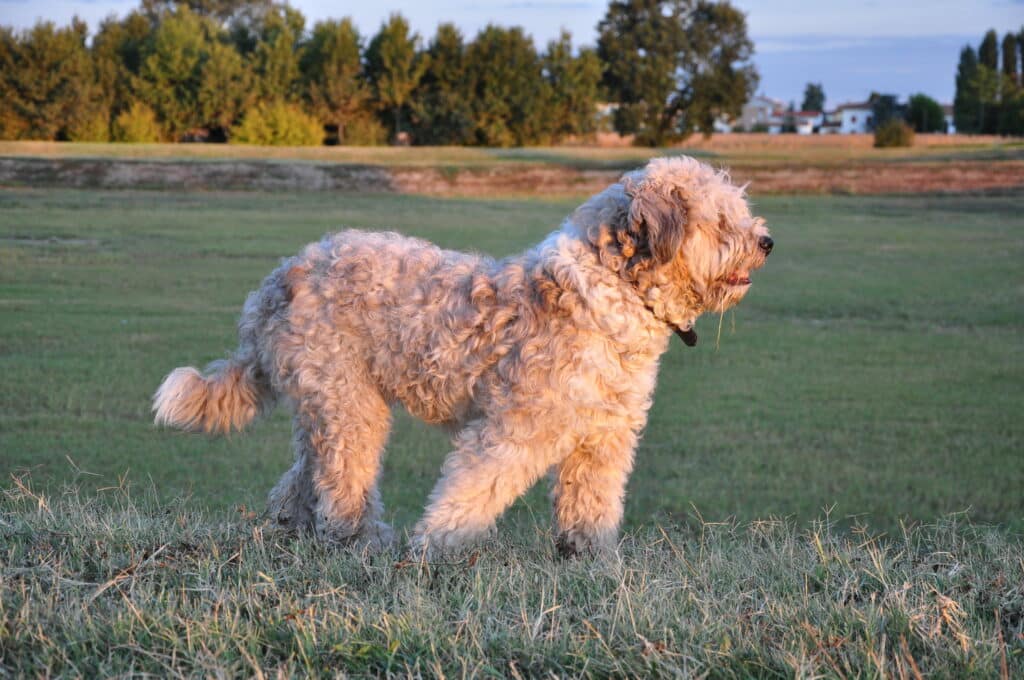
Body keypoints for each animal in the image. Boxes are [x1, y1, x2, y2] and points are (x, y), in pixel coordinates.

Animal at [155, 155, 770, 557]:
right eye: (721, 222)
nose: (766, 242)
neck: (611, 292)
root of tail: (278, 280)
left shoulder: (606, 435)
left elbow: (591, 504)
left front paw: (591, 561)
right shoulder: (515, 429)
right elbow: (473, 490)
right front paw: (435, 549)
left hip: (328, 400)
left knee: (307, 474)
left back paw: (298, 527)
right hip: (347, 400)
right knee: (343, 479)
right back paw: (364, 541)